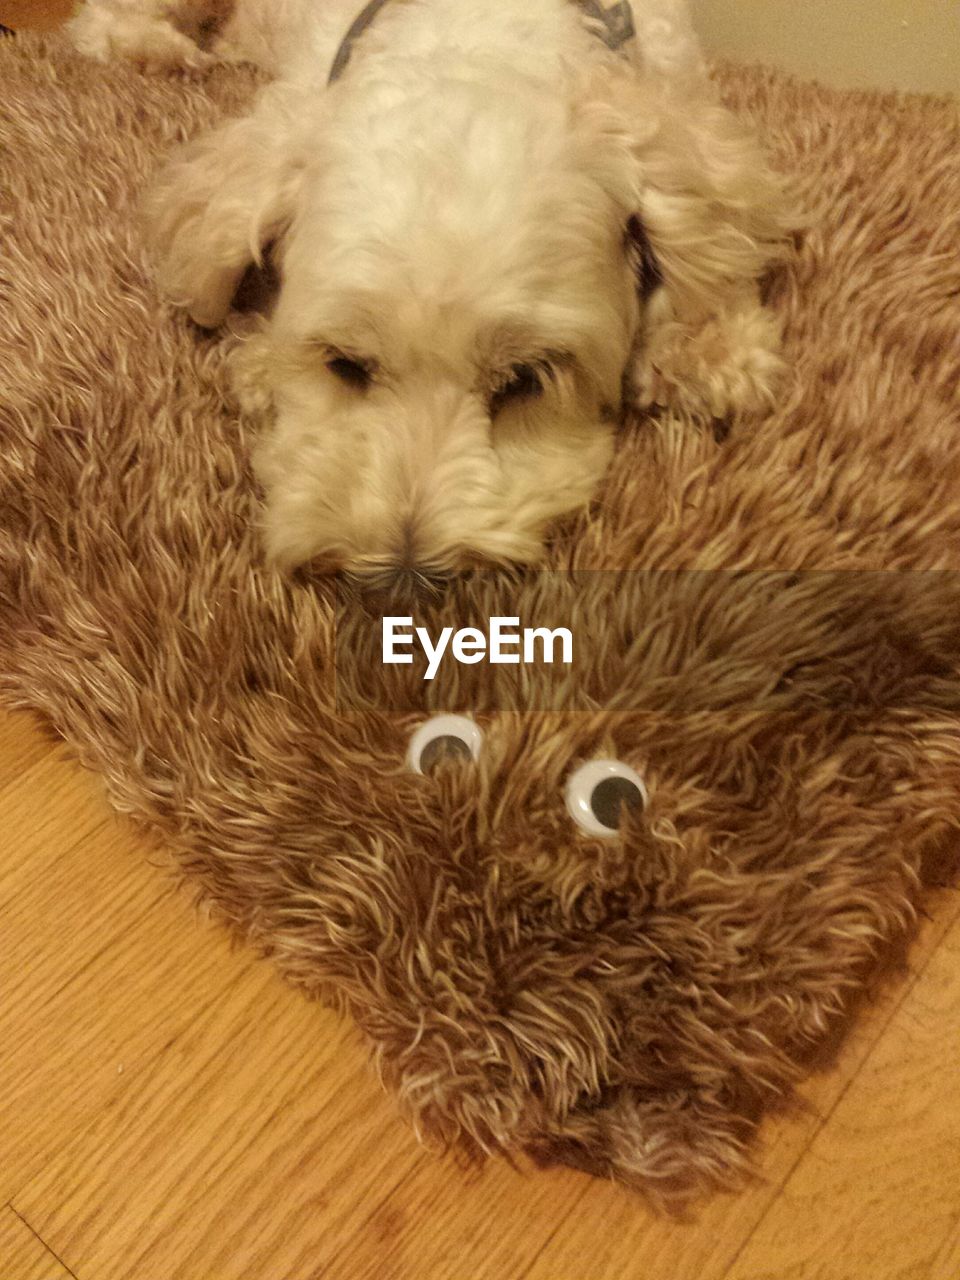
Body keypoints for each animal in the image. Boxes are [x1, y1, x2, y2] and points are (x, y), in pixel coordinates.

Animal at [65, 0, 788, 583]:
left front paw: (711, 347)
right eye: (345, 364)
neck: (485, 33)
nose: (400, 574)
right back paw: (162, 51)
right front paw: (257, 362)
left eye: (527, 380)